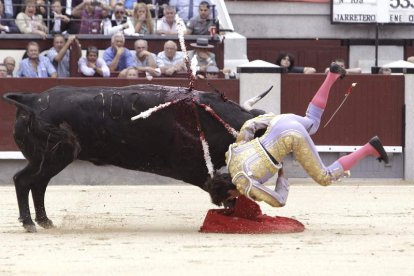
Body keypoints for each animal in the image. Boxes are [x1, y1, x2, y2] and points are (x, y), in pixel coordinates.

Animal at [3, 83, 266, 231]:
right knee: (24, 181)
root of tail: (31, 100)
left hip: (46, 159)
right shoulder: (195, 168)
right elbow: (223, 185)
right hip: (54, 156)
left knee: (37, 184)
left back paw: (44, 221)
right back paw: (29, 223)